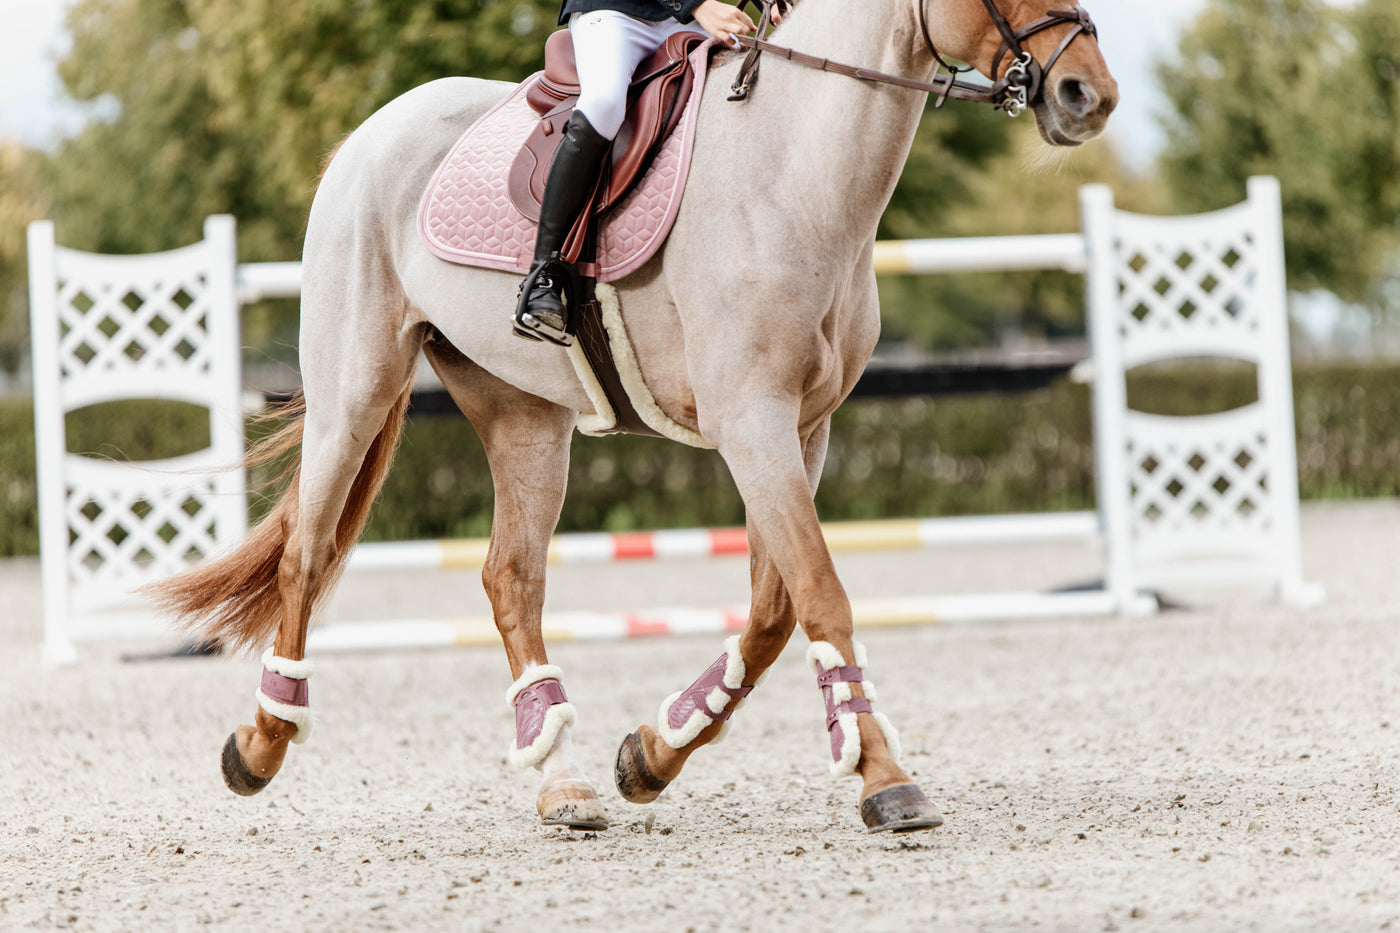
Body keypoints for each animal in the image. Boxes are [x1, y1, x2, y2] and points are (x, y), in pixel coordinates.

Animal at [150, 0, 1117, 834]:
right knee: (309, 557)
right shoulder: (753, 423)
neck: (791, 168)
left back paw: (562, 779)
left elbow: (773, 610)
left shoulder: (802, 429)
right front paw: (884, 776)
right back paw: (261, 743)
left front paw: (653, 753)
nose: (1089, 96)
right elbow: (820, 595)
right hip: (356, 389)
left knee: (511, 578)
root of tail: (368, 133)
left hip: (525, 416)